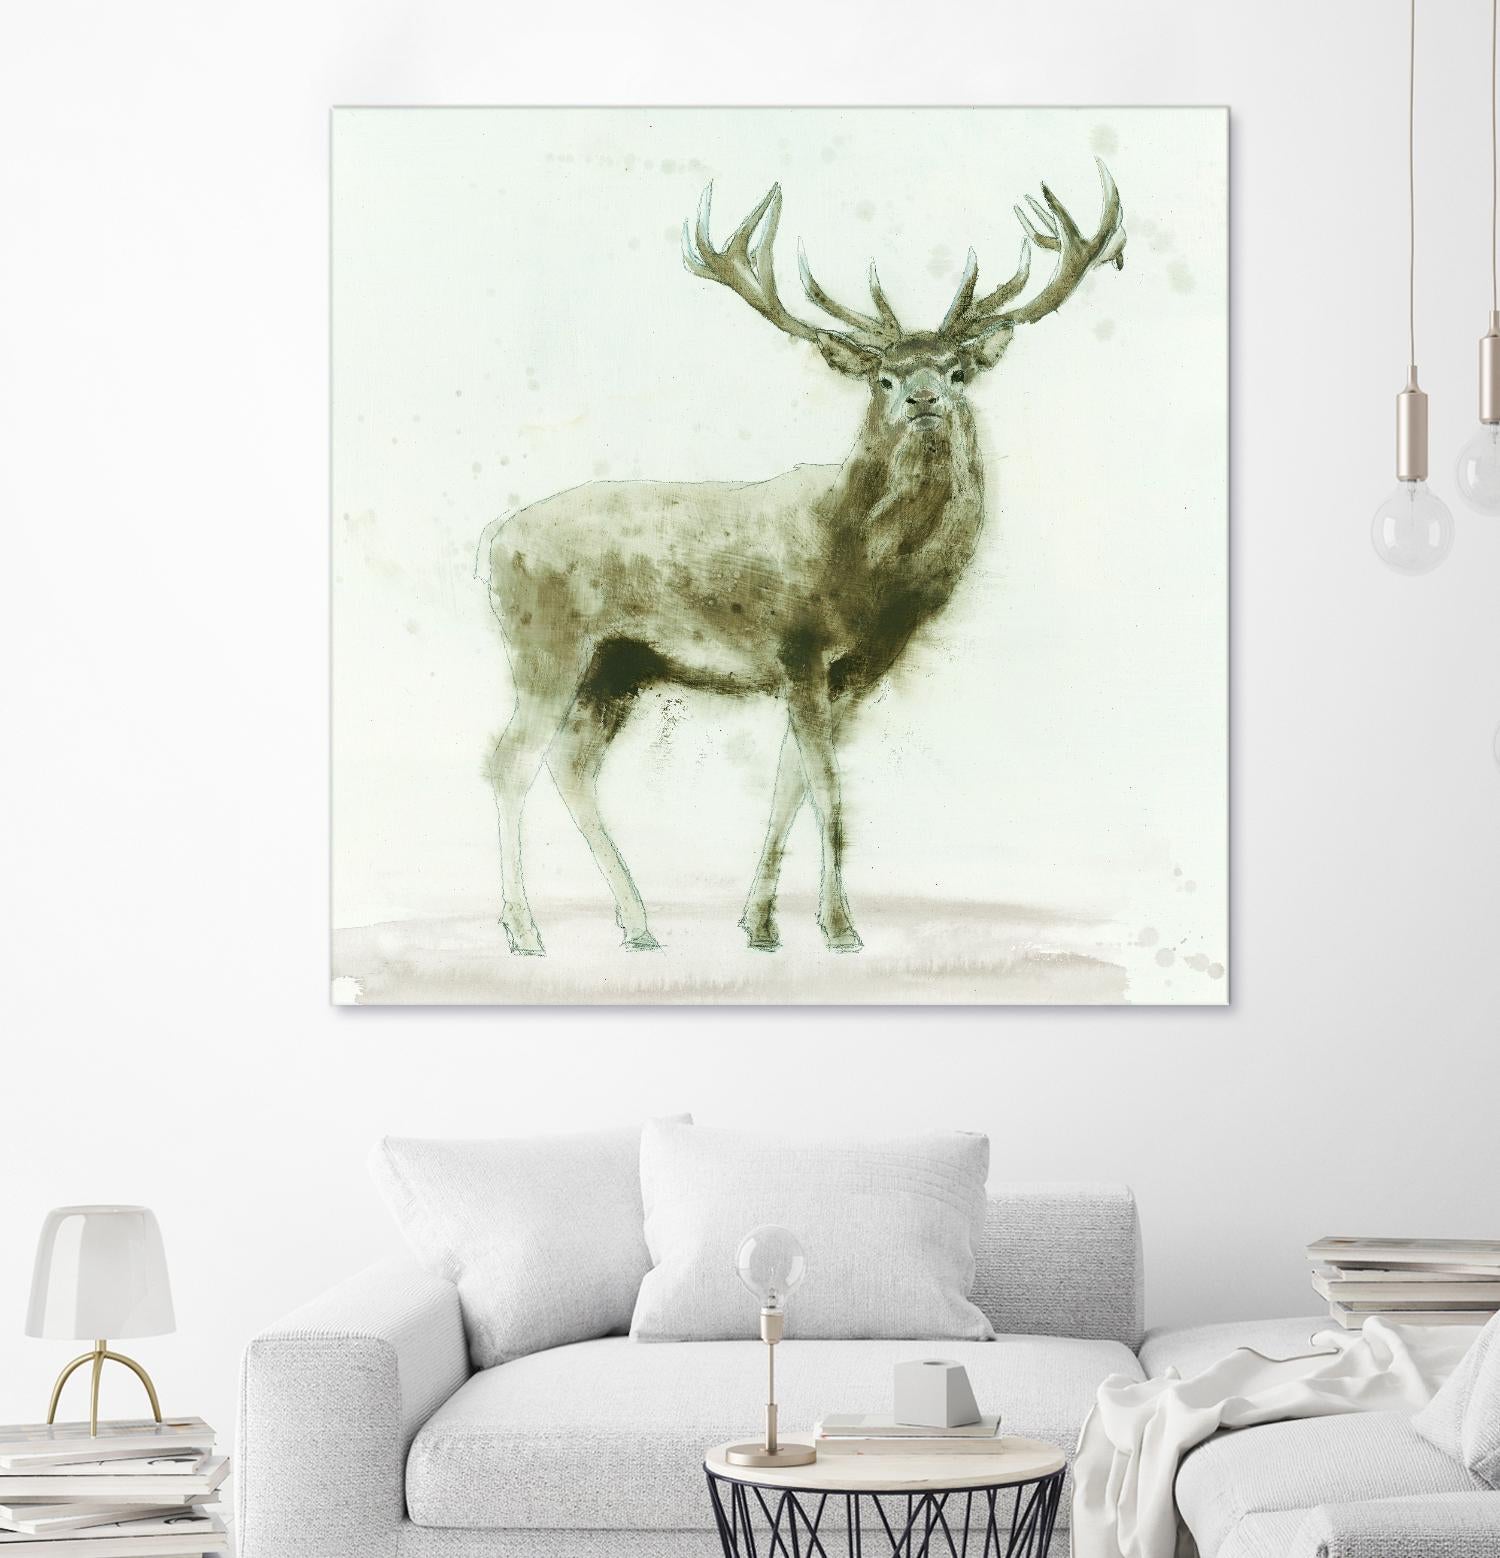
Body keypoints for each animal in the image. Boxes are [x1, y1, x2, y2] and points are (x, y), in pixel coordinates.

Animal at [483, 163, 1125, 957]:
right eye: (883, 377)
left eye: (957, 371)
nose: (923, 399)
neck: (861, 569)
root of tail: (492, 543)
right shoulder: (797, 648)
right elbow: (828, 789)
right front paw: (842, 928)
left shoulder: (852, 672)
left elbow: (789, 782)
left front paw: (759, 924)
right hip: (546, 643)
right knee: (510, 760)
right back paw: (524, 930)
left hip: (619, 665)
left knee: (570, 765)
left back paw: (637, 923)